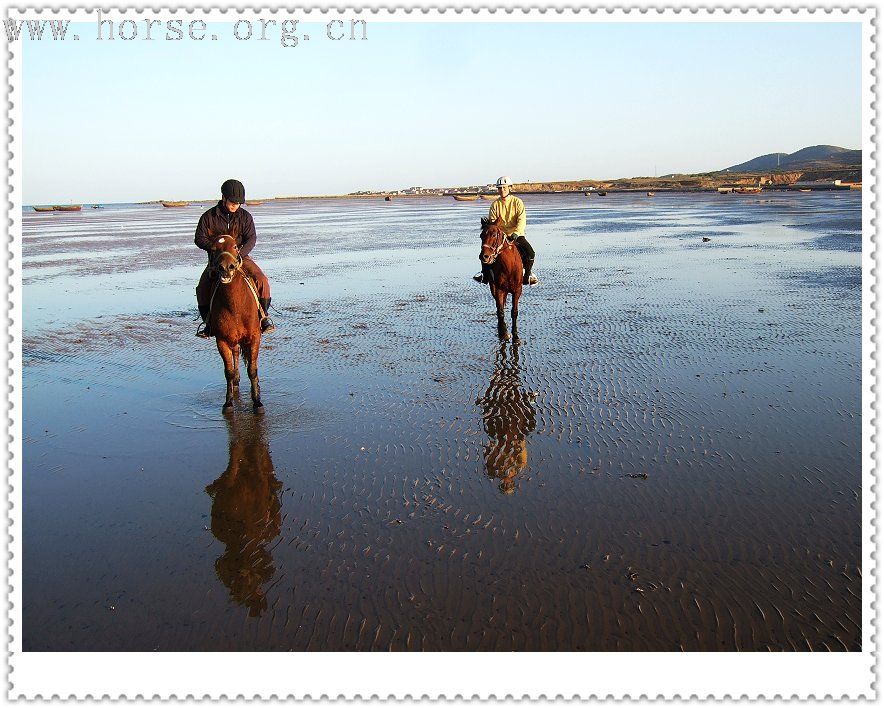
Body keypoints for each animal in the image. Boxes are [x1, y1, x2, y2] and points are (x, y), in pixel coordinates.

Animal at [205, 234, 264, 410]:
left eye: (236, 247)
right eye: (213, 248)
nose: (226, 267)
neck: (235, 306)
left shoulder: (254, 338)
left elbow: (252, 369)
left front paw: (257, 400)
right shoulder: (222, 341)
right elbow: (228, 372)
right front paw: (228, 402)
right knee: (236, 355)